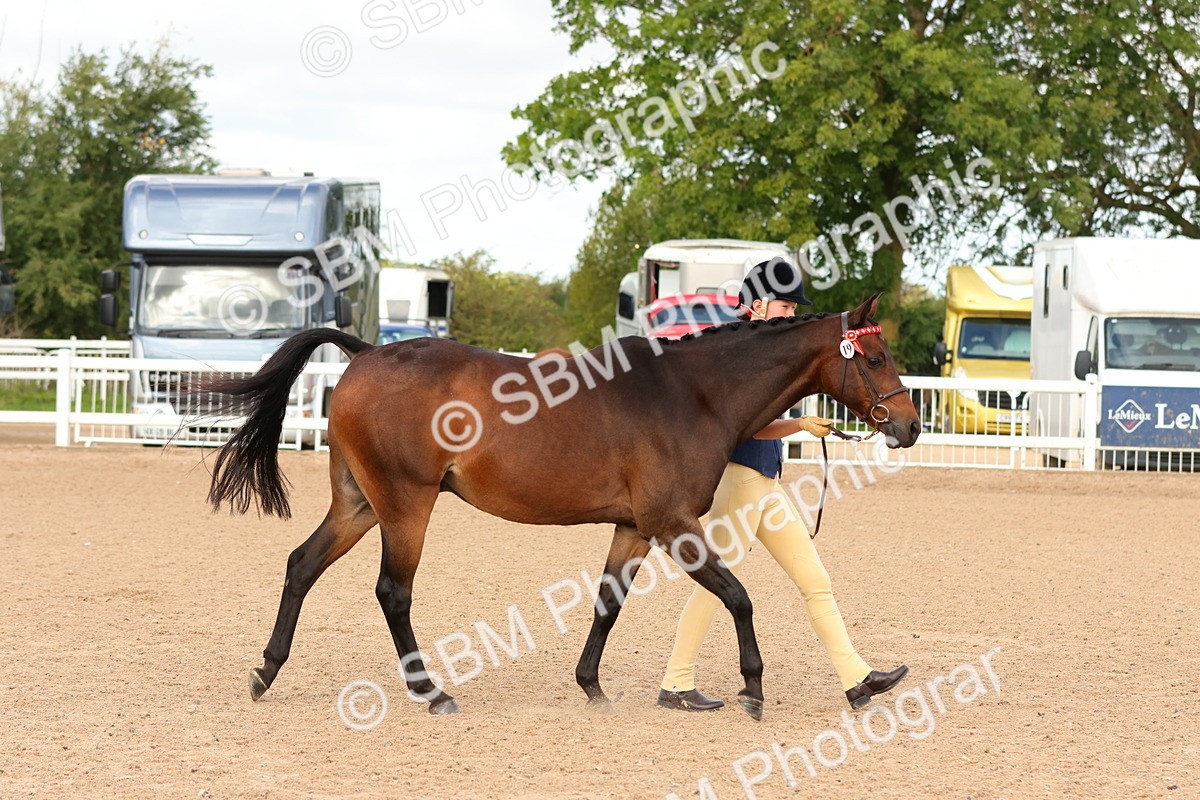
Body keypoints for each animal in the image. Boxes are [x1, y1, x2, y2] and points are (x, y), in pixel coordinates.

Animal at [202, 293, 920, 720]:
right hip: (405, 505)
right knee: (392, 593)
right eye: (875, 355)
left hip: (359, 504)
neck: (692, 393)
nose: (910, 426)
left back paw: (266, 672)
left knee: (301, 565)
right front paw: (753, 686)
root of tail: (369, 351)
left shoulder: (634, 528)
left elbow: (608, 604)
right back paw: (432, 692)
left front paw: (592, 685)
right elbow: (738, 597)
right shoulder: (673, 525)